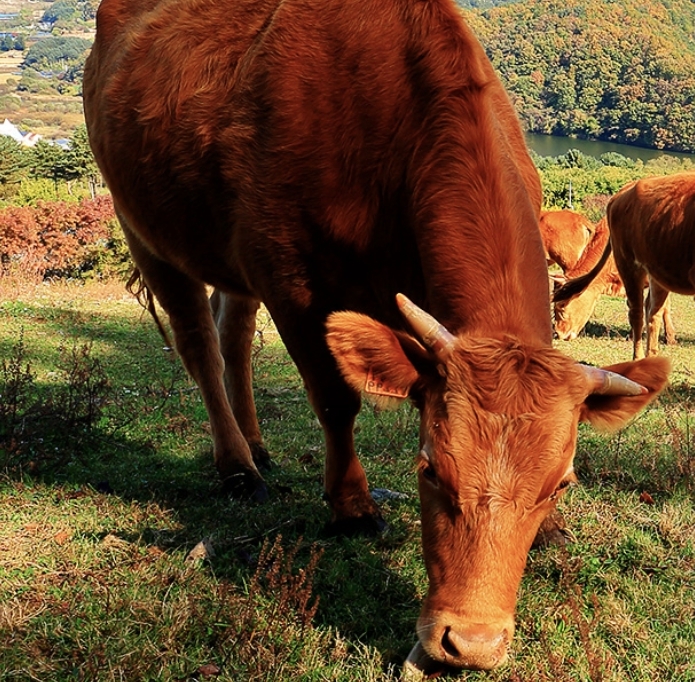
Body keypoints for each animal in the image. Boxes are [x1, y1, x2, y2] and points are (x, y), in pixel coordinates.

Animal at [84, 0, 672, 668]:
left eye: (561, 483)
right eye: (429, 470)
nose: (471, 642)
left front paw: (548, 530)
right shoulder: (292, 281)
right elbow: (336, 400)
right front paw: (352, 507)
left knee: (231, 330)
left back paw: (257, 446)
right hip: (144, 228)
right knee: (199, 344)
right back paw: (238, 468)